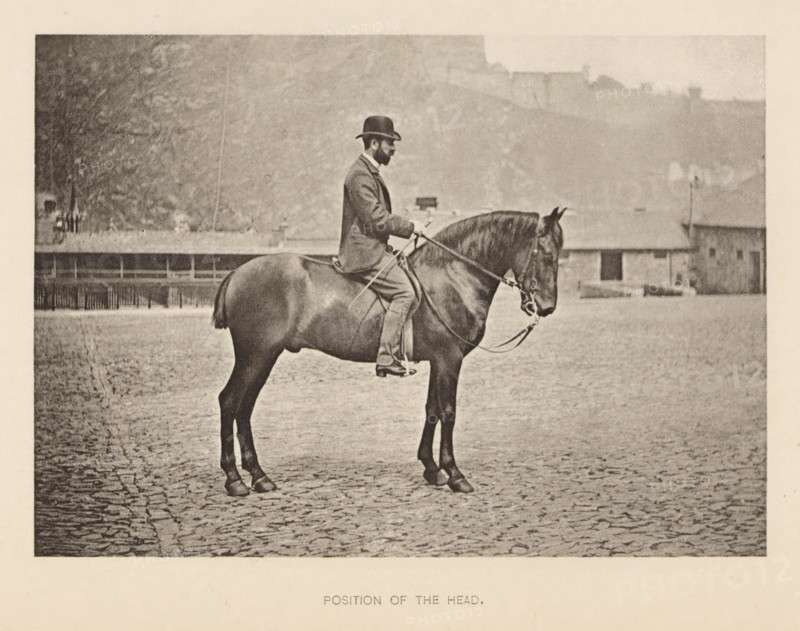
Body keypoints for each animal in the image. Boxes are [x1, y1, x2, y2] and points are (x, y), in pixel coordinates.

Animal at [212, 207, 566, 496]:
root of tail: (237, 273)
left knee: (244, 407)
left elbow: (432, 410)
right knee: (230, 401)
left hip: (264, 358)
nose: (547, 307)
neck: (452, 277)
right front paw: (454, 473)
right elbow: (449, 412)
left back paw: (259, 476)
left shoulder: (438, 361)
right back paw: (234, 479)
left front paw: (431, 469)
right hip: (255, 356)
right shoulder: (449, 359)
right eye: (547, 255)